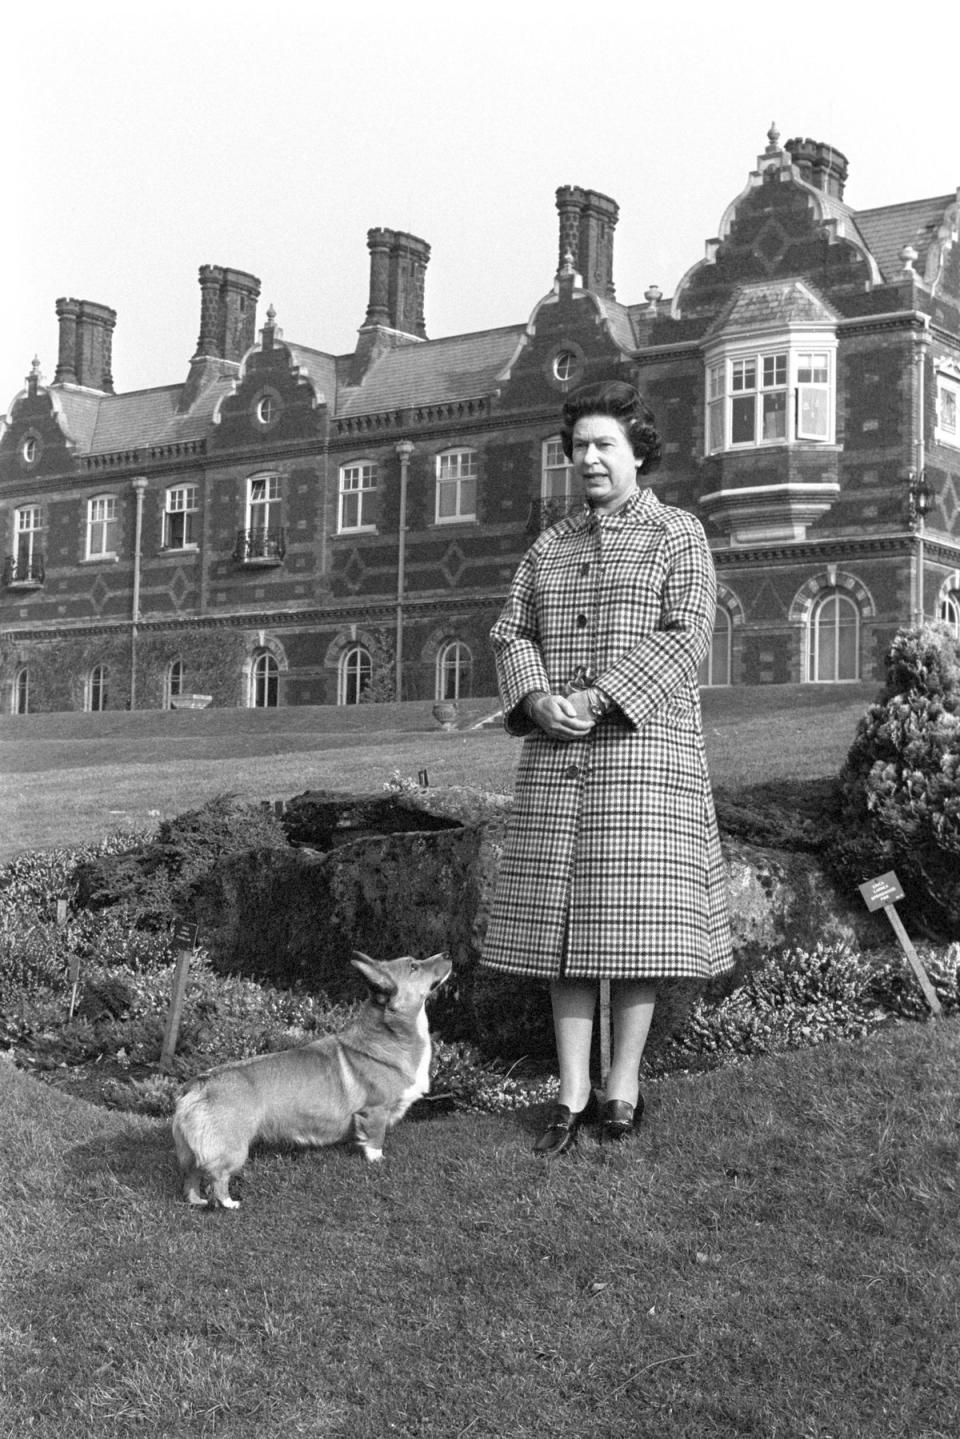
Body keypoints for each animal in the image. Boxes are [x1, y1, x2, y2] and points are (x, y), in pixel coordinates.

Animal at [171, 949, 451, 1208]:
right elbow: (375, 1141)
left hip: (192, 1154)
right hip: (233, 1149)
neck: (393, 1036)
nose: (447, 953)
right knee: (218, 1177)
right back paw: (229, 1203)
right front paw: (378, 1162)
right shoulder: (374, 1112)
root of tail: (198, 1085)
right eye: (414, 966)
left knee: (191, 1177)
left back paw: (197, 1201)